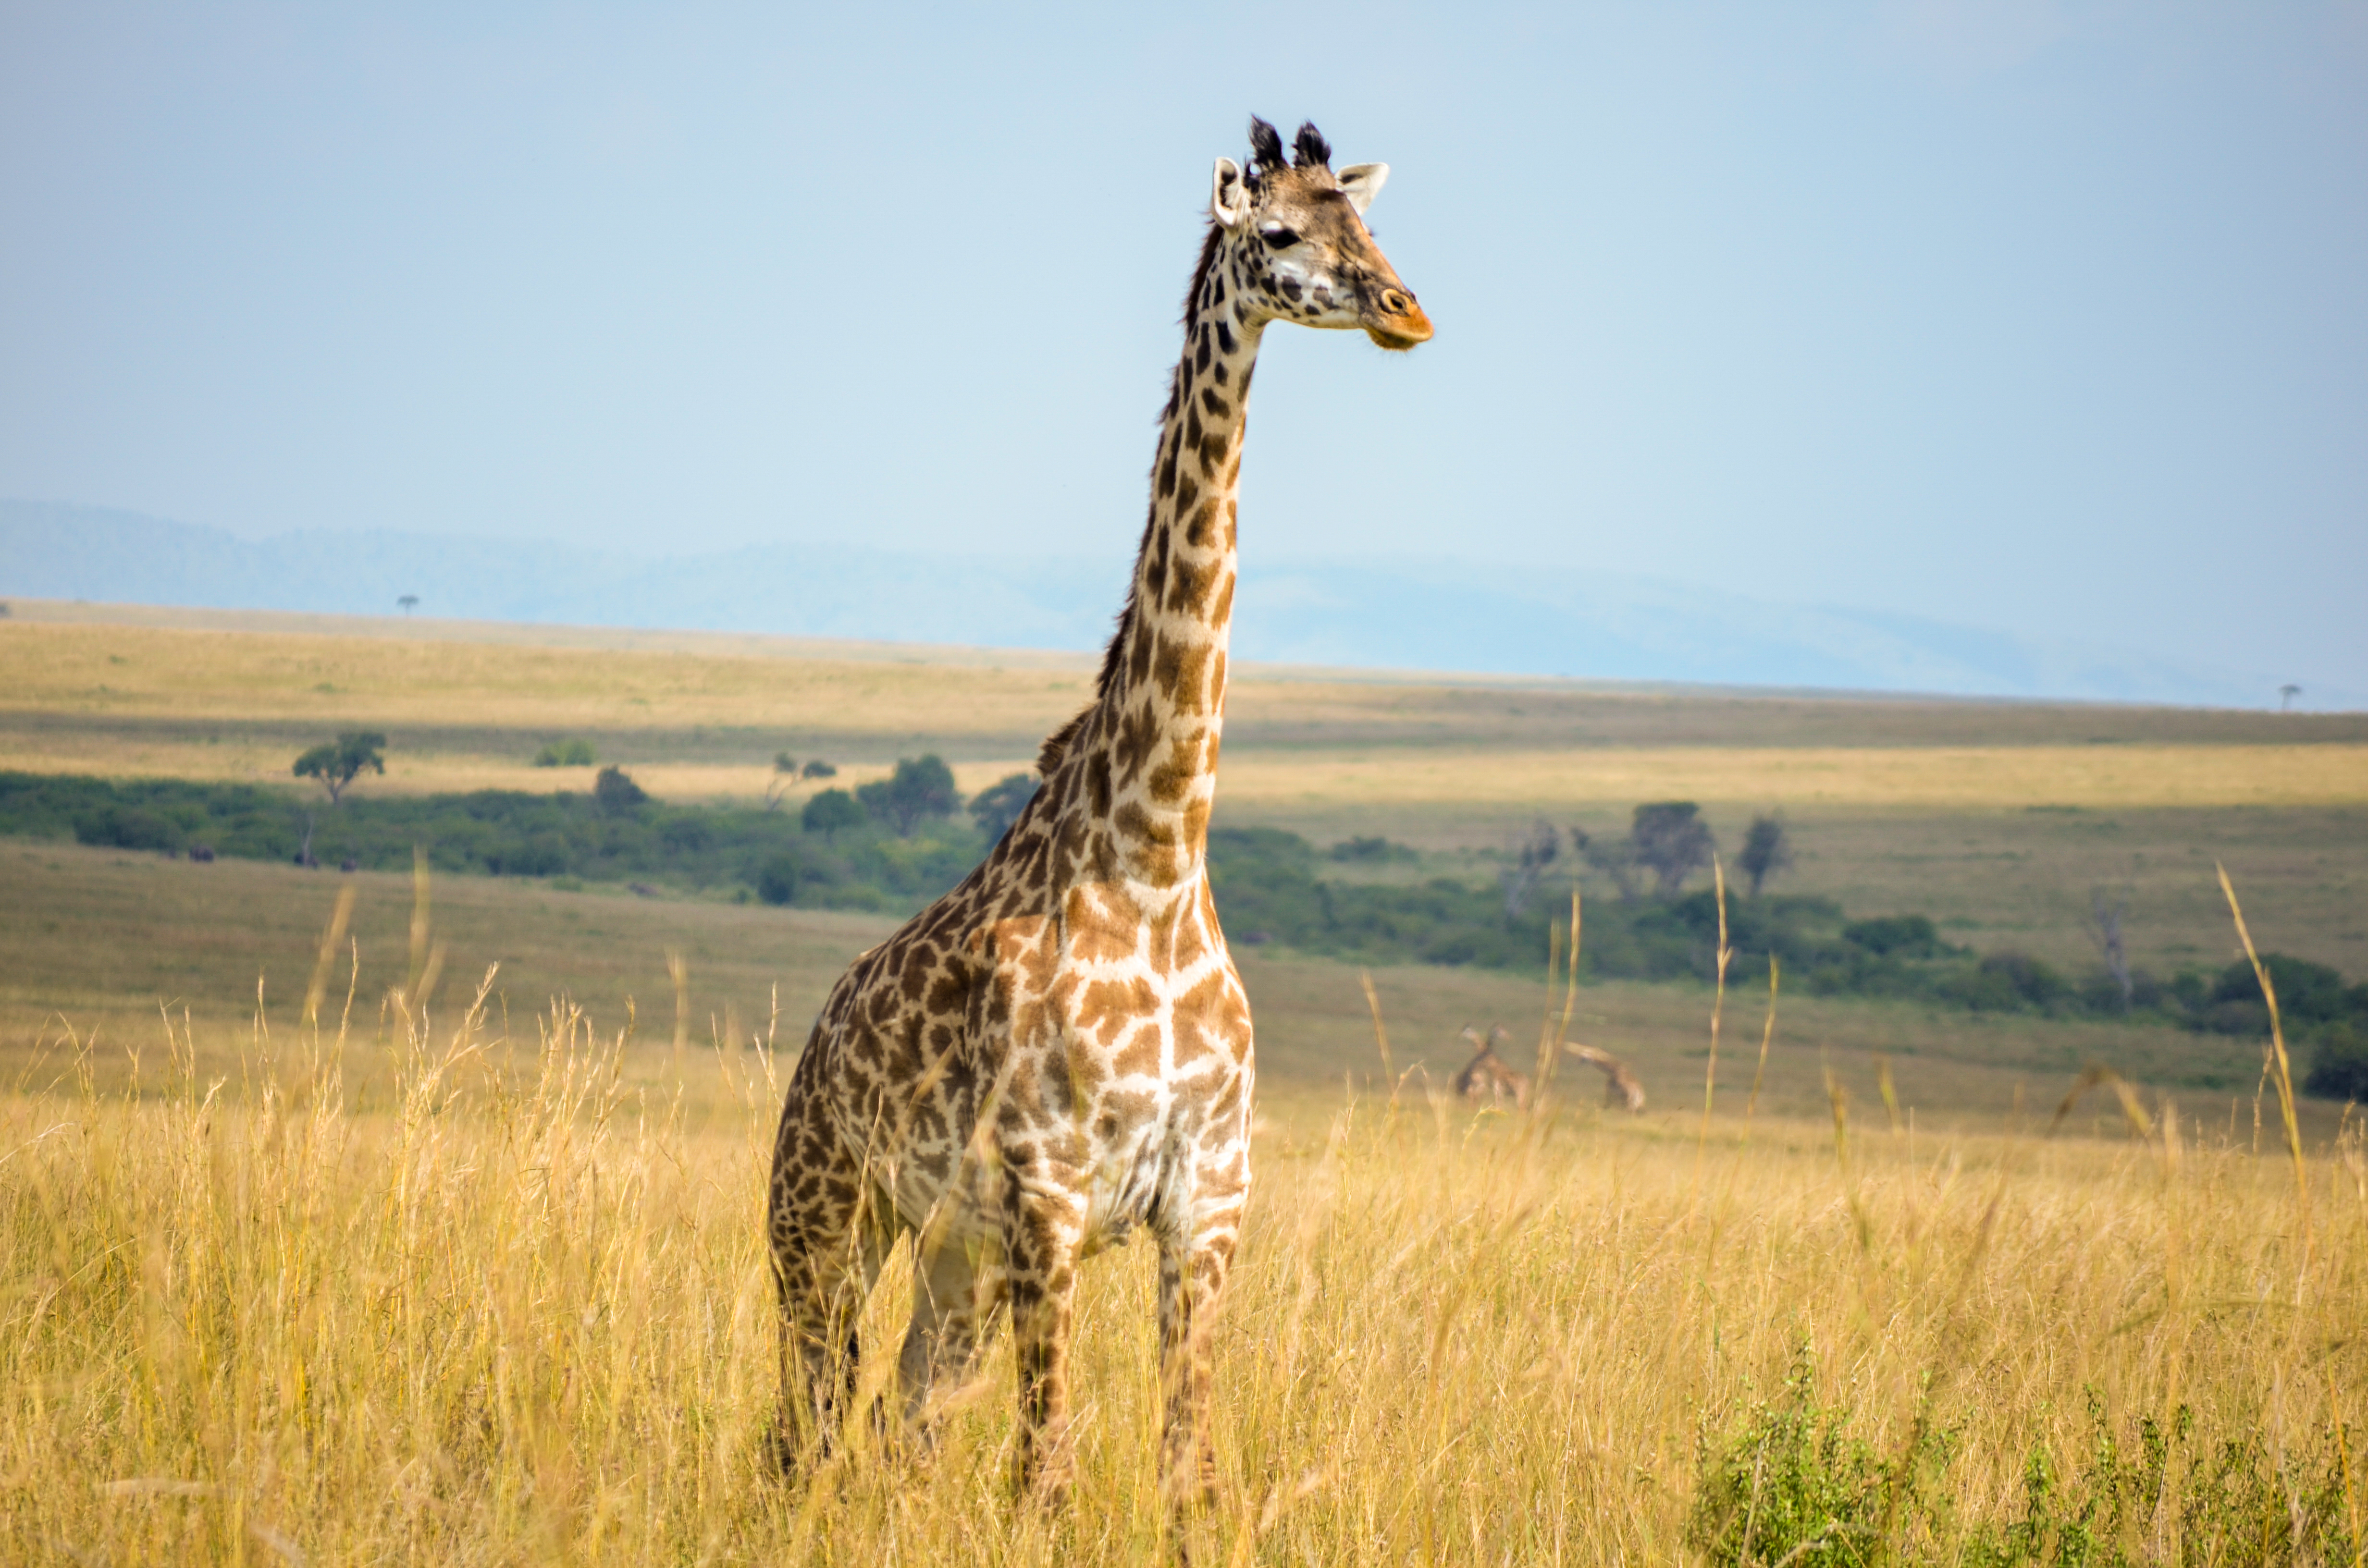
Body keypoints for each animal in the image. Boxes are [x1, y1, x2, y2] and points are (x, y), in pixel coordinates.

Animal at [764, 116, 1431, 1508]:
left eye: (1372, 224)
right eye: (1279, 233)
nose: (1409, 312)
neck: (1157, 860)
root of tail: (820, 1030)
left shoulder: (1207, 1205)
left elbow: (1187, 1468)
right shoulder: (1050, 1198)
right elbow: (1049, 1474)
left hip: (951, 1262)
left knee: (898, 1421)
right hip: (825, 1217)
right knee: (809, 1425)